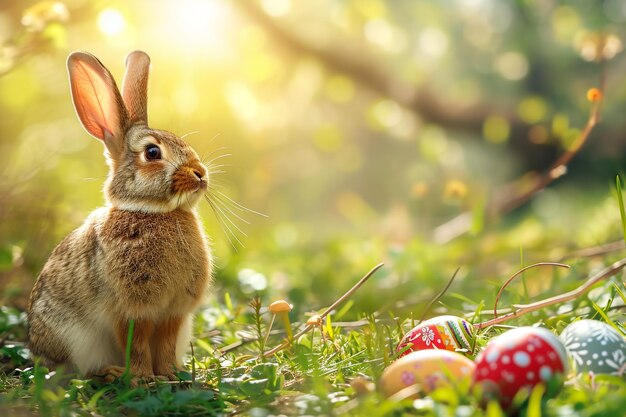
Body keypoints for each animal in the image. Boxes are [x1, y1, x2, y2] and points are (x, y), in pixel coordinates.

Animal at [27, 50, 212, 378]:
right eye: (152, 153)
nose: (200, 174)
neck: (154, 212)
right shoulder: (130, 309)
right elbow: (135, 344)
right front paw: (142, 378)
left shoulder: (174, 312)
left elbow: (166, 343)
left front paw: (169, 374)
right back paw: (110, 372)